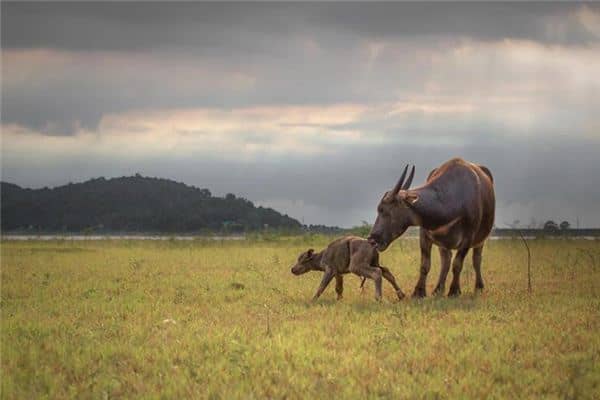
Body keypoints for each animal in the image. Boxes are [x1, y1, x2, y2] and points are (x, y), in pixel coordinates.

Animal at [368, 157, 494, 296]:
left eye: (383, 210)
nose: (372, 239)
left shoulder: (468, 238)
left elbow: (457, 264)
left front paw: (454, 290)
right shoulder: (425, 234)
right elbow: (425, 265)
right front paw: (419, 292)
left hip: (480, 239)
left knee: (476, 259)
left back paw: (479, 287)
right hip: (443, 243)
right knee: (446, 260)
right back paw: (438, 289)